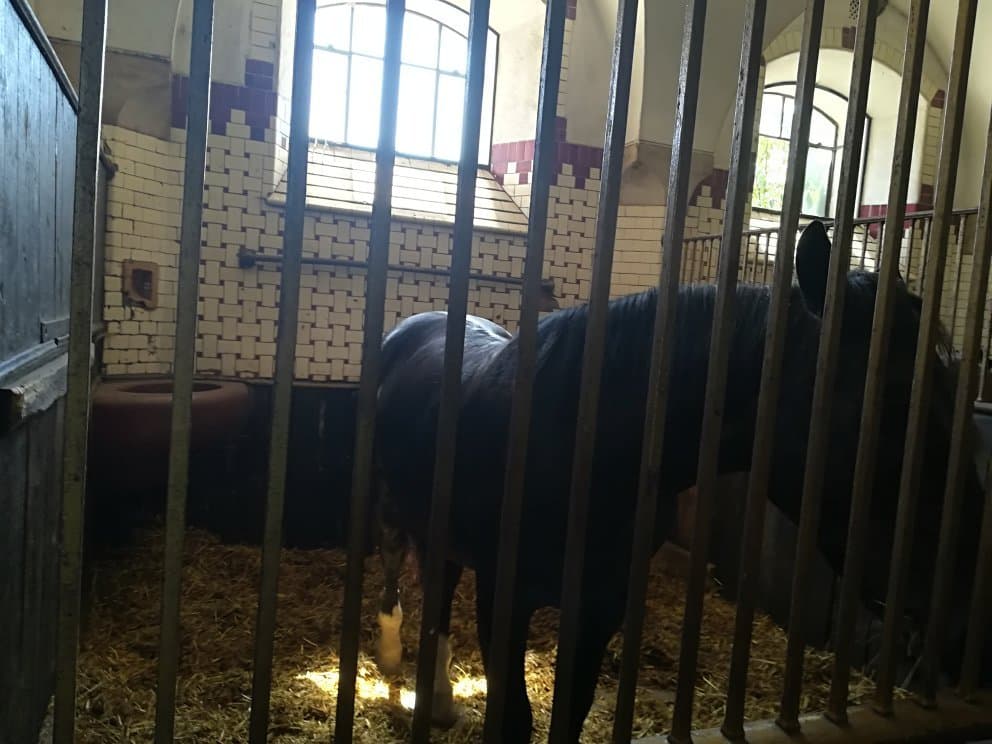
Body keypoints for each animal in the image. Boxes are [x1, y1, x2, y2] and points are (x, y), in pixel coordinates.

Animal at [369, 220, 988, 742]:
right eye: (896, 403)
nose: (960, 614)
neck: (585, 443)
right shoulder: (505, 597)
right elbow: (515, 718)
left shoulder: (600, 608)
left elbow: (570, 713)